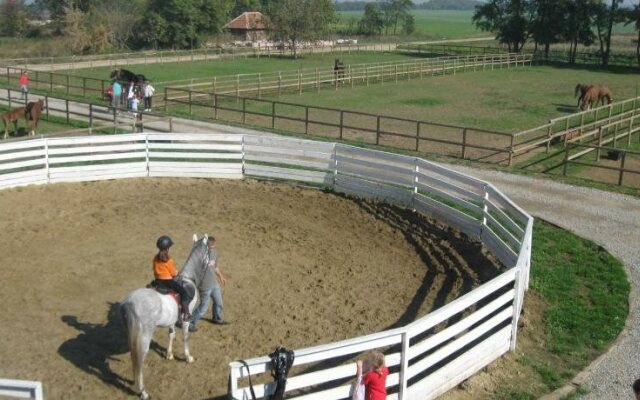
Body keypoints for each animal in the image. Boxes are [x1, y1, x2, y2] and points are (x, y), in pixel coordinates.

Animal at [120, 234, 218, 400]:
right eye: (208, 251)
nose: (212, 264)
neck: (187, 279)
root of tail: (130, 302)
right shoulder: (185, 319)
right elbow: (185, 337)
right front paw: (187, 357)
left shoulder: (172, 320)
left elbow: (171, 335)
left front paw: (169, 354)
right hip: (143, 339)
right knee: (139, 361)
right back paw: (143, 392)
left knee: (135, 359)